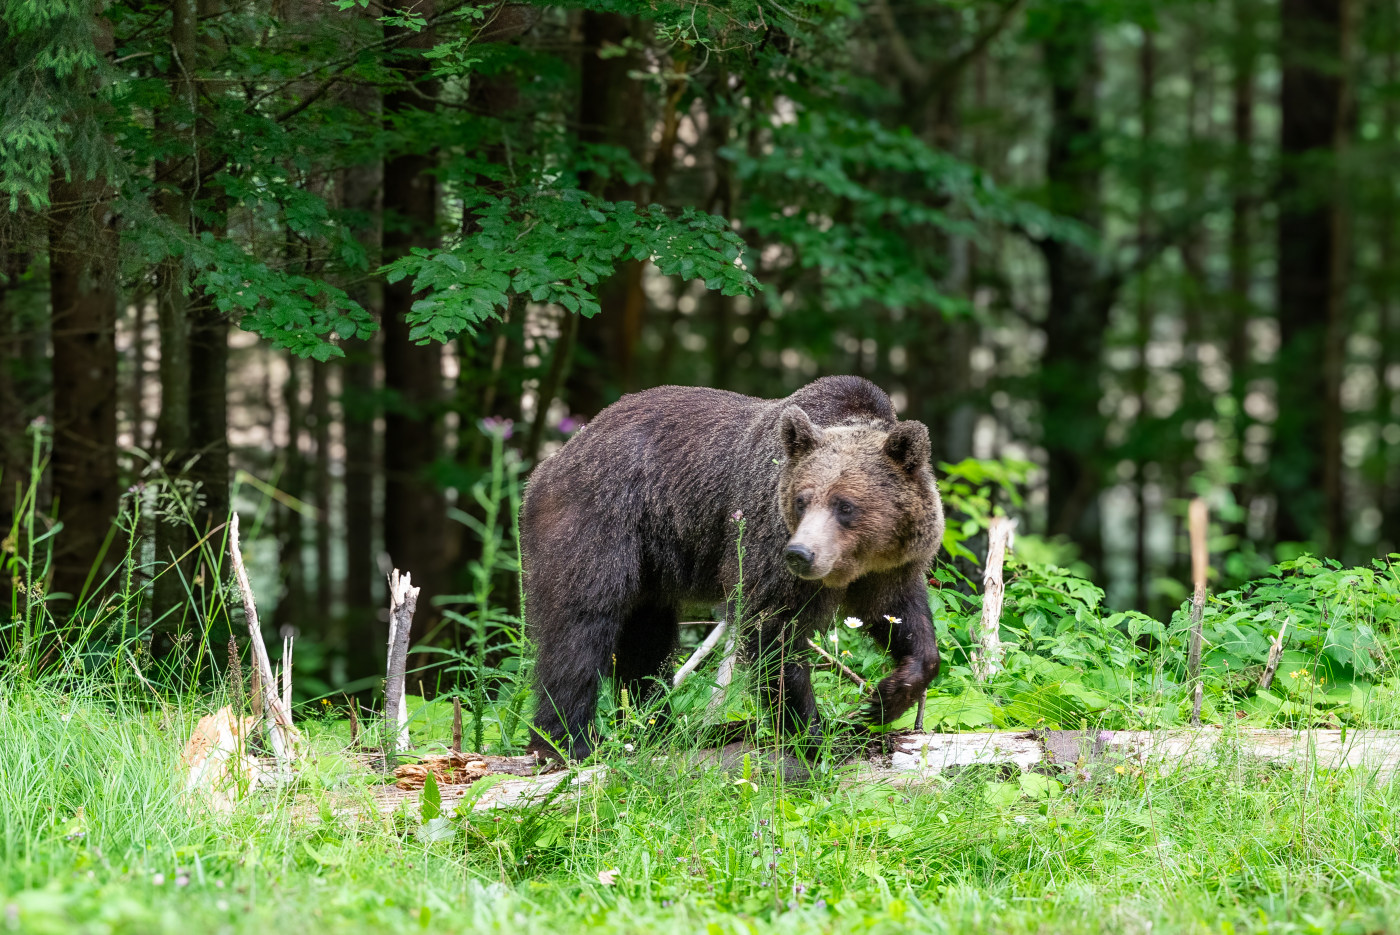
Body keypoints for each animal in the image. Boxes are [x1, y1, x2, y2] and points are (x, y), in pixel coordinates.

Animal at [521, 375, 943, 760]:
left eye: (845, 505)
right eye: (802, 500)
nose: (800, 554)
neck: (856, 560)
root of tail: (558, 457)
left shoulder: (890, 567)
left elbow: (900, 618)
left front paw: (886, 699)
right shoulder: (766, 544)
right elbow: (775, 636)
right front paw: (813, 736)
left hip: (652, 560)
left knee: (647, 638)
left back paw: (658, 727)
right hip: (603, 519)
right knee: (582, 626)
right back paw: (569, 741)